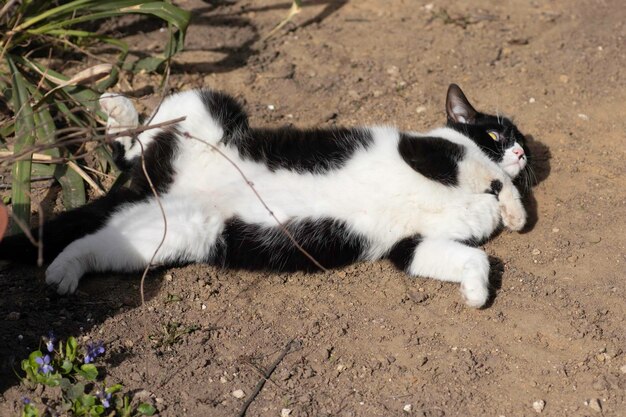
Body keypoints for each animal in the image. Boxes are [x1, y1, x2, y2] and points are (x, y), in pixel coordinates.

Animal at [0, 83, 528, 306]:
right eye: (495, 133)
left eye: (517, 136)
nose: (522, 151)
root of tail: (153, 184)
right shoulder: (427, 150)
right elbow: (478, 168)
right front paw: (514, 207)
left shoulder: (412, 245)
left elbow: (473, 257)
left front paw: (477, 292)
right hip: (202, 105)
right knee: (136, 143)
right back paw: (116, 108)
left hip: (160, 236)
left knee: (92, 241)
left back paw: (64, 272)